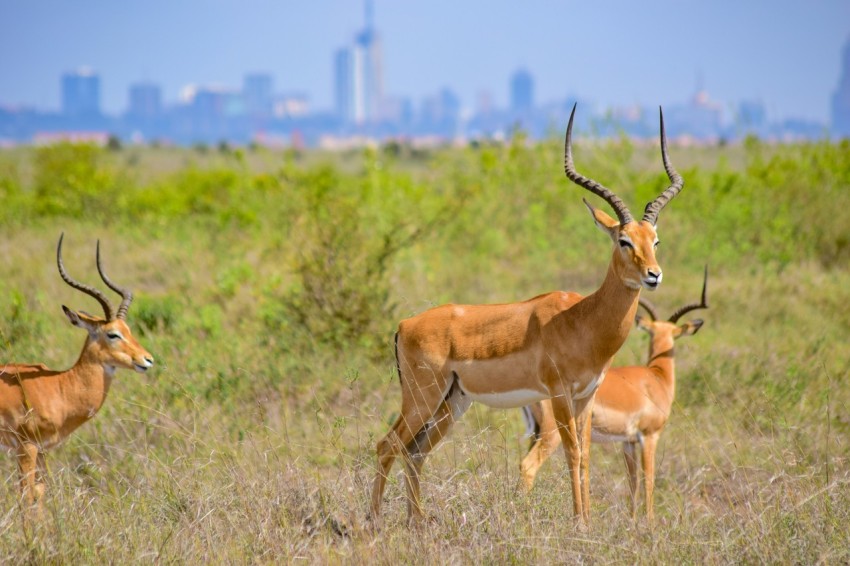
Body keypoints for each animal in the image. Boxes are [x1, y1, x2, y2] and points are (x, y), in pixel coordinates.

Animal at [0, 234, 154, 516]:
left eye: (128, 329)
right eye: (112, 334)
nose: (147, 360)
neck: (59, 385)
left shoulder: (44, 449)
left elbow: (39, 494)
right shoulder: (26, 447)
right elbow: (26, 497)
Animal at [370, 105, 686, 525]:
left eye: (655, 241)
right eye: (623, 241)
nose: (654, 275)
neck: (582, 319)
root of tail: (405, 324)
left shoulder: (587, 395)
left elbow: (586, 456)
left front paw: (587, 522)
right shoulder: (560, 393)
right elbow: (571, 454)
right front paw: (579, 523)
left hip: (452, 402)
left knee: (414, 452)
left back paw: (417, 524)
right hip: (423, 397)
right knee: (386, 444)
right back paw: (372, 523)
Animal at [520, 267, 709, 520]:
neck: (656, 378)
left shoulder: (627, 442)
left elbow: (633, 481)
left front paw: (632, 521)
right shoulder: (650, 436)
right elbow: (649, 480)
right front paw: (650, 523)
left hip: (537, 432)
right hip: (552, 433)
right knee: (528, 466)